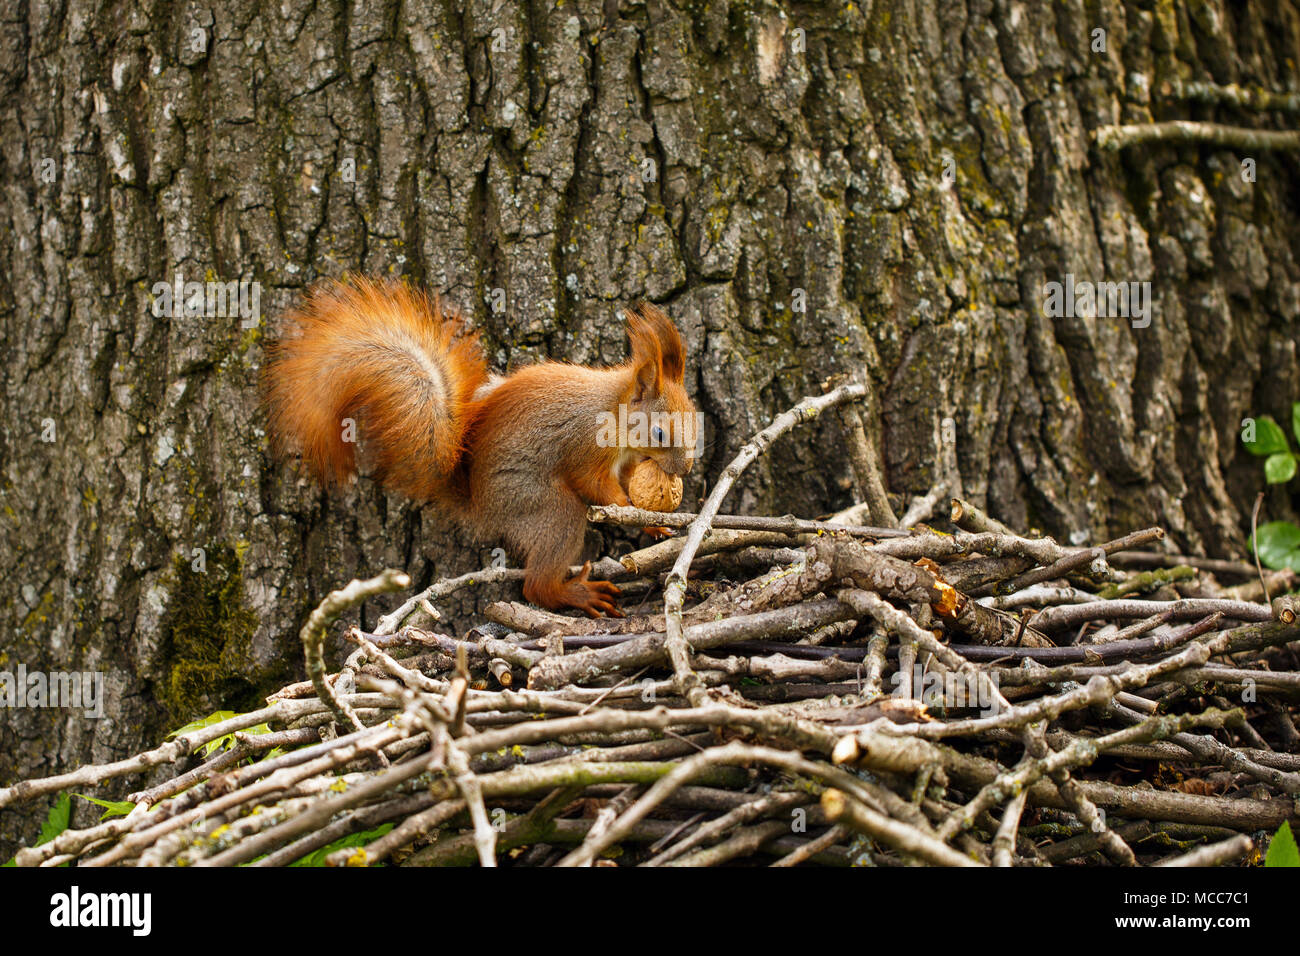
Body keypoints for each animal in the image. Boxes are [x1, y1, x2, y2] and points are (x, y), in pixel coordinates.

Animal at [261, 277, 702, 621]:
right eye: (659, 433)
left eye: (694, 418)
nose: (684, 470)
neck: (613, 411)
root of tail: (478, 503)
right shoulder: (583, 446)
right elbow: (597, 487)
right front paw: (627, 507)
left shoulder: (625, 460)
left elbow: (626, 483)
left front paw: (652, 522)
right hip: (540, 505)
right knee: (537, 585)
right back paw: (575, 593)